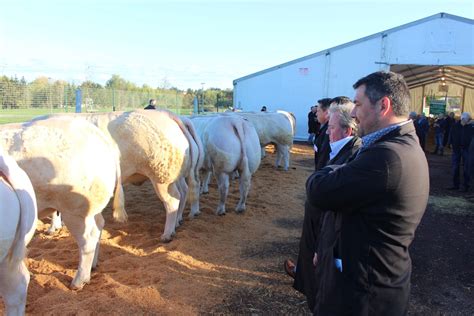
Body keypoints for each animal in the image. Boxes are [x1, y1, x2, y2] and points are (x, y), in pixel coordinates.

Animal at [0, 117, 125, 290]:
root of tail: (102, 138)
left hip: (75, 209)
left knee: (88, 239)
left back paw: (78, 281)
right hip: (90, 208)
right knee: (99, 226)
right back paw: (93, 266)